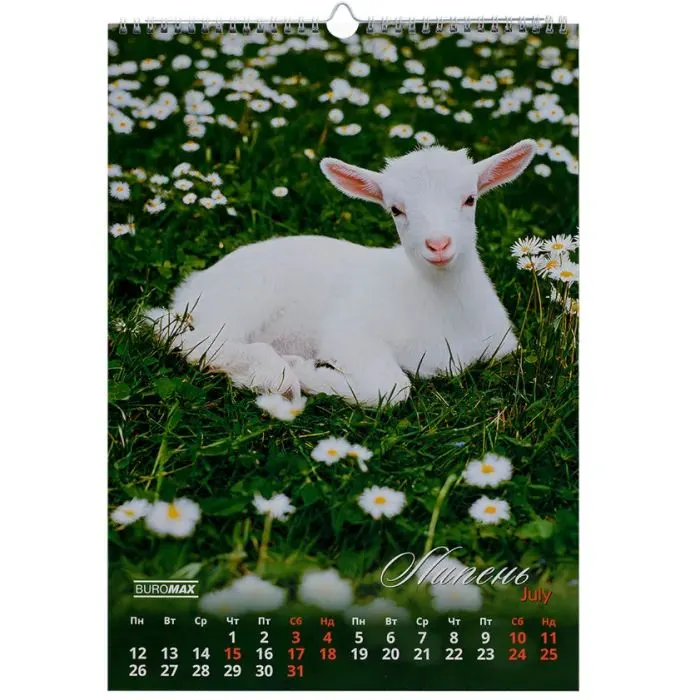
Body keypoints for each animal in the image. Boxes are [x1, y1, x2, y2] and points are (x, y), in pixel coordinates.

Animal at [146, 139, 536, 406]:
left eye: (470, 199)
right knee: (187, 339)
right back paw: (274, 373)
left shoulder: (502, 347)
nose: (438, 244)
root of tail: (192, 286)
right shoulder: (348, 331)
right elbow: (393, 388)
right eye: (396, 210)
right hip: (240, 300)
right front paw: (310, 373)